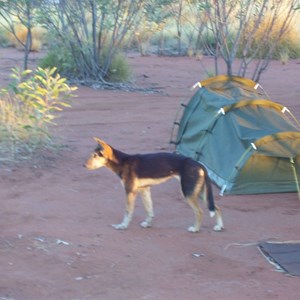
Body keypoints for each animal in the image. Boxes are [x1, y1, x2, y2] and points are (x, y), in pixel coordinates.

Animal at [84, 138, 223, 232]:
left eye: (95, 156)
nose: (84, 165)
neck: (122, 162)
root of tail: (198, 164)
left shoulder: (130, 192)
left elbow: (128, 212)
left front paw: (123, 225)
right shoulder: (144, 190)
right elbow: (149, 210)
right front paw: (148, 224)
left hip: (188, 193)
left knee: (199, 212)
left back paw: (195, 229)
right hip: (199, 193)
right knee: (216, 208)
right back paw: (219, 226)